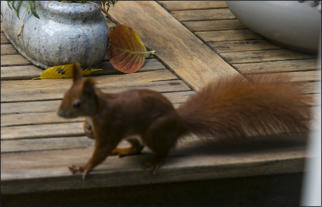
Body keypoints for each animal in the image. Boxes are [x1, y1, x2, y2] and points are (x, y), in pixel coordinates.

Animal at [57, 62, 312, 180]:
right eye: (64, 95)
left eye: (77, 103)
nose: (60, 114)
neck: (99, 109)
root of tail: (180, 123)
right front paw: (86, 129)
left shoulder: (111, 125)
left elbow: (101, 150)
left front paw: (84, 167)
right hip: (137, 133)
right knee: (137, 146)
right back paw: (125, 150)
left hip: (154, 131)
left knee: (164, 150)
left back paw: (156, 162)